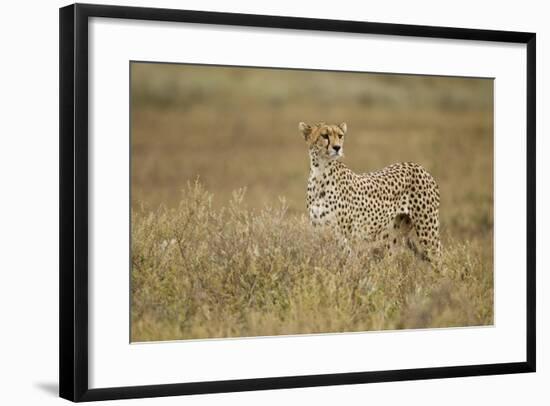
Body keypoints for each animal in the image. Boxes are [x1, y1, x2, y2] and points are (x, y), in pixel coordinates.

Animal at [300, 120, 442, 262]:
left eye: (340, 136)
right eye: (324, 135)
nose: (337, 147)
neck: (320, 172)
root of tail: (419, 167)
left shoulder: (344, 237)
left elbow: (348, 261)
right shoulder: (319, 232)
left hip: (427, 231)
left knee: (440, 258)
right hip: (393, 236)